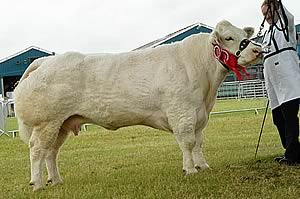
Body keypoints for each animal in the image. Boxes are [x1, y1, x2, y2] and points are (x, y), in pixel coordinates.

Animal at [14, 20, 262, 191]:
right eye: (229, 37)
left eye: (244, 35)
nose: (257, 50)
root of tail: (44, 61)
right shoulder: (181, 114)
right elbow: (188, 143)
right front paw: (190, 170)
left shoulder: (199, 116)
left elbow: (199, 143)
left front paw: (203, 167)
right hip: (46, 122)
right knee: (37, 150)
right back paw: (37, 183)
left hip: (61, 124)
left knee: (51, 152)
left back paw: (55, 180)